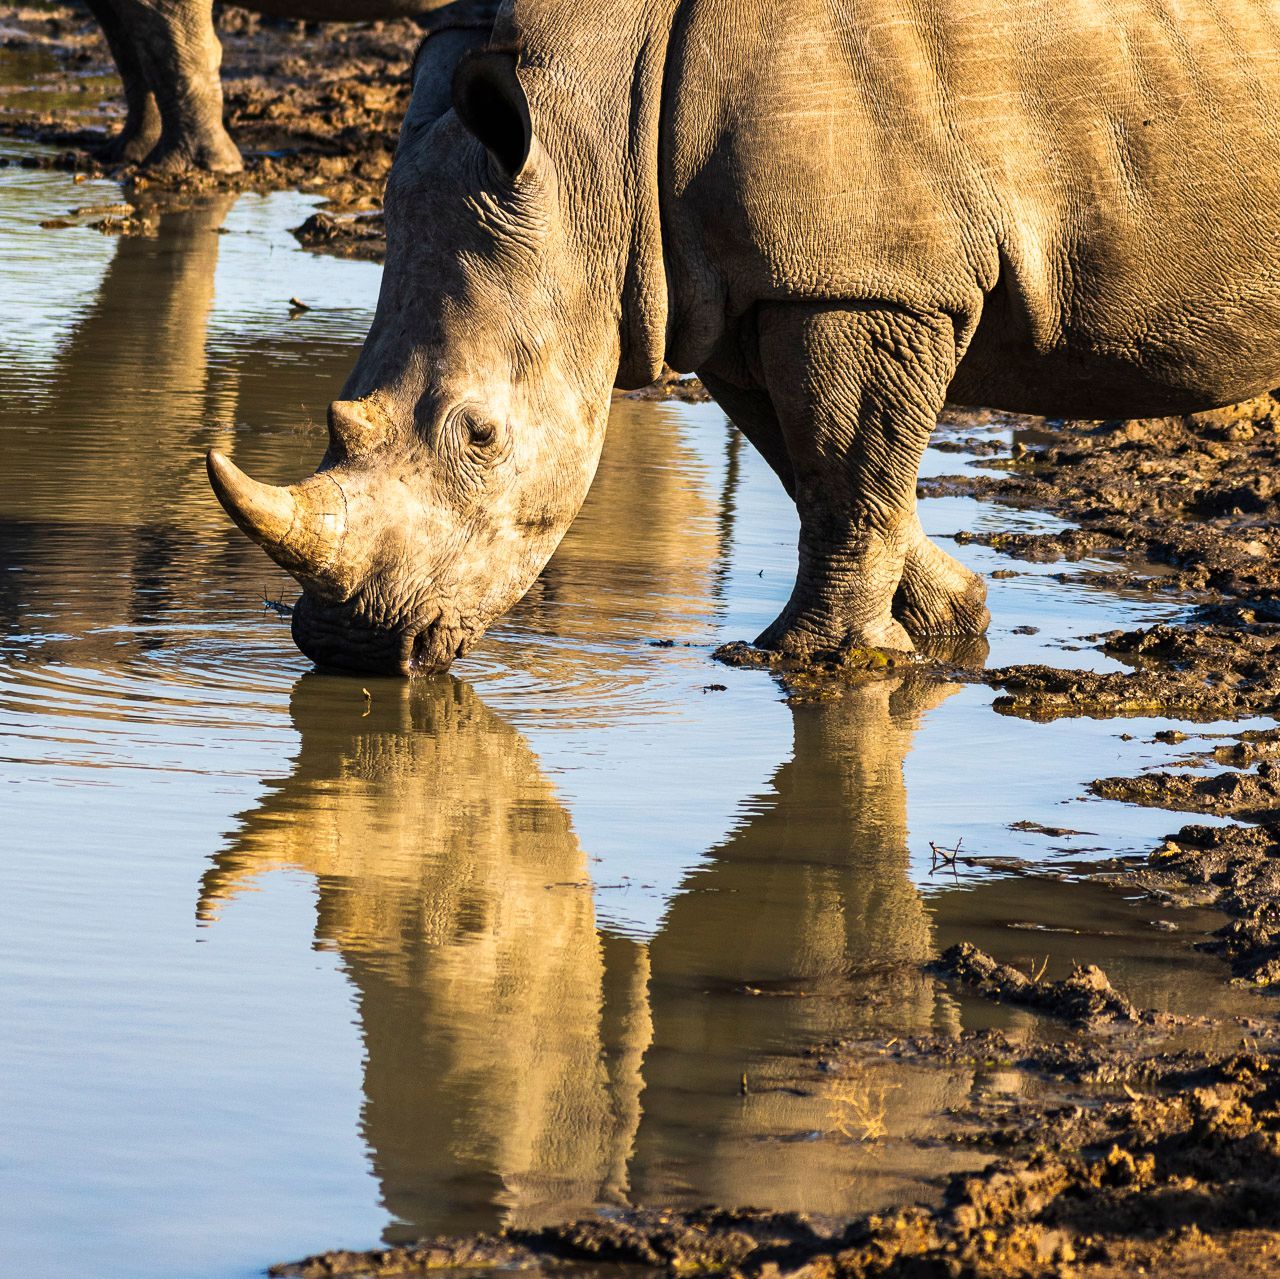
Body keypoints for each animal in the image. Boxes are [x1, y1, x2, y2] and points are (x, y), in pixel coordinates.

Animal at [208, 0, 1280, 675]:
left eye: (481, 436)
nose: (346, 648)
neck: (592, 120)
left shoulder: (860, 277)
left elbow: (848, 459)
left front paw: (820, 660)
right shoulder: (731, 278)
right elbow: (808, 460)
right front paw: (948, 623)